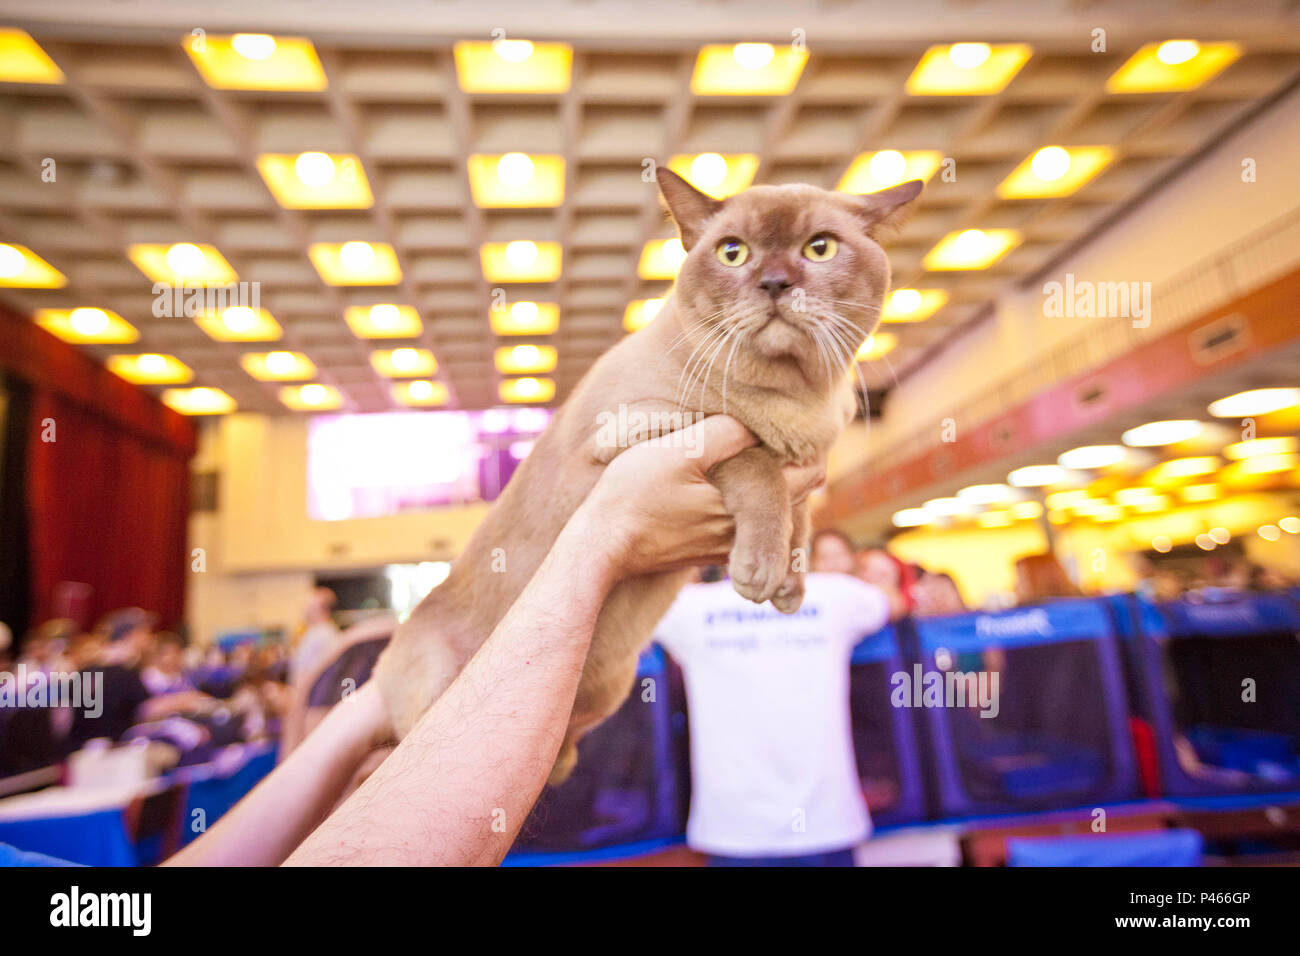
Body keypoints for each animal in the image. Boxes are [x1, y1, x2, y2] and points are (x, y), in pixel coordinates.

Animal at [374, 167, 925, 780]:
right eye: (733, 253)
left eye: (819, 248)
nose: (775, 284)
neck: (796, 401)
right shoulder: (646, 428)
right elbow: (754, 461)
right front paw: (760, 569)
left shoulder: (803, 472)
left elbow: (800, 517)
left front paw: (790, 585)